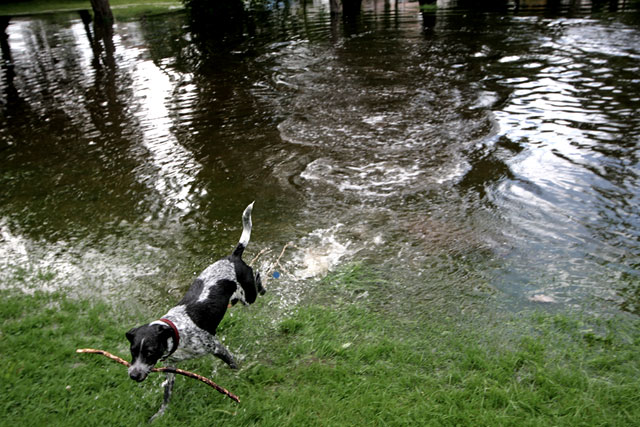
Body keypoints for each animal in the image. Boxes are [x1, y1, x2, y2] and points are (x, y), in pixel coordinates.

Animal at [126, 203, 264, 422]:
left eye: (149, 352)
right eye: (132, 351)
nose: (133, 375)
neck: (176, 331)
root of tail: (233, 256)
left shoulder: (215, 346)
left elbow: (232, 362)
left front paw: (239, 374)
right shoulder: (171, 367)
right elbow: (167, 394)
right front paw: (161, 413)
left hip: (249, 296)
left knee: (258, 277)